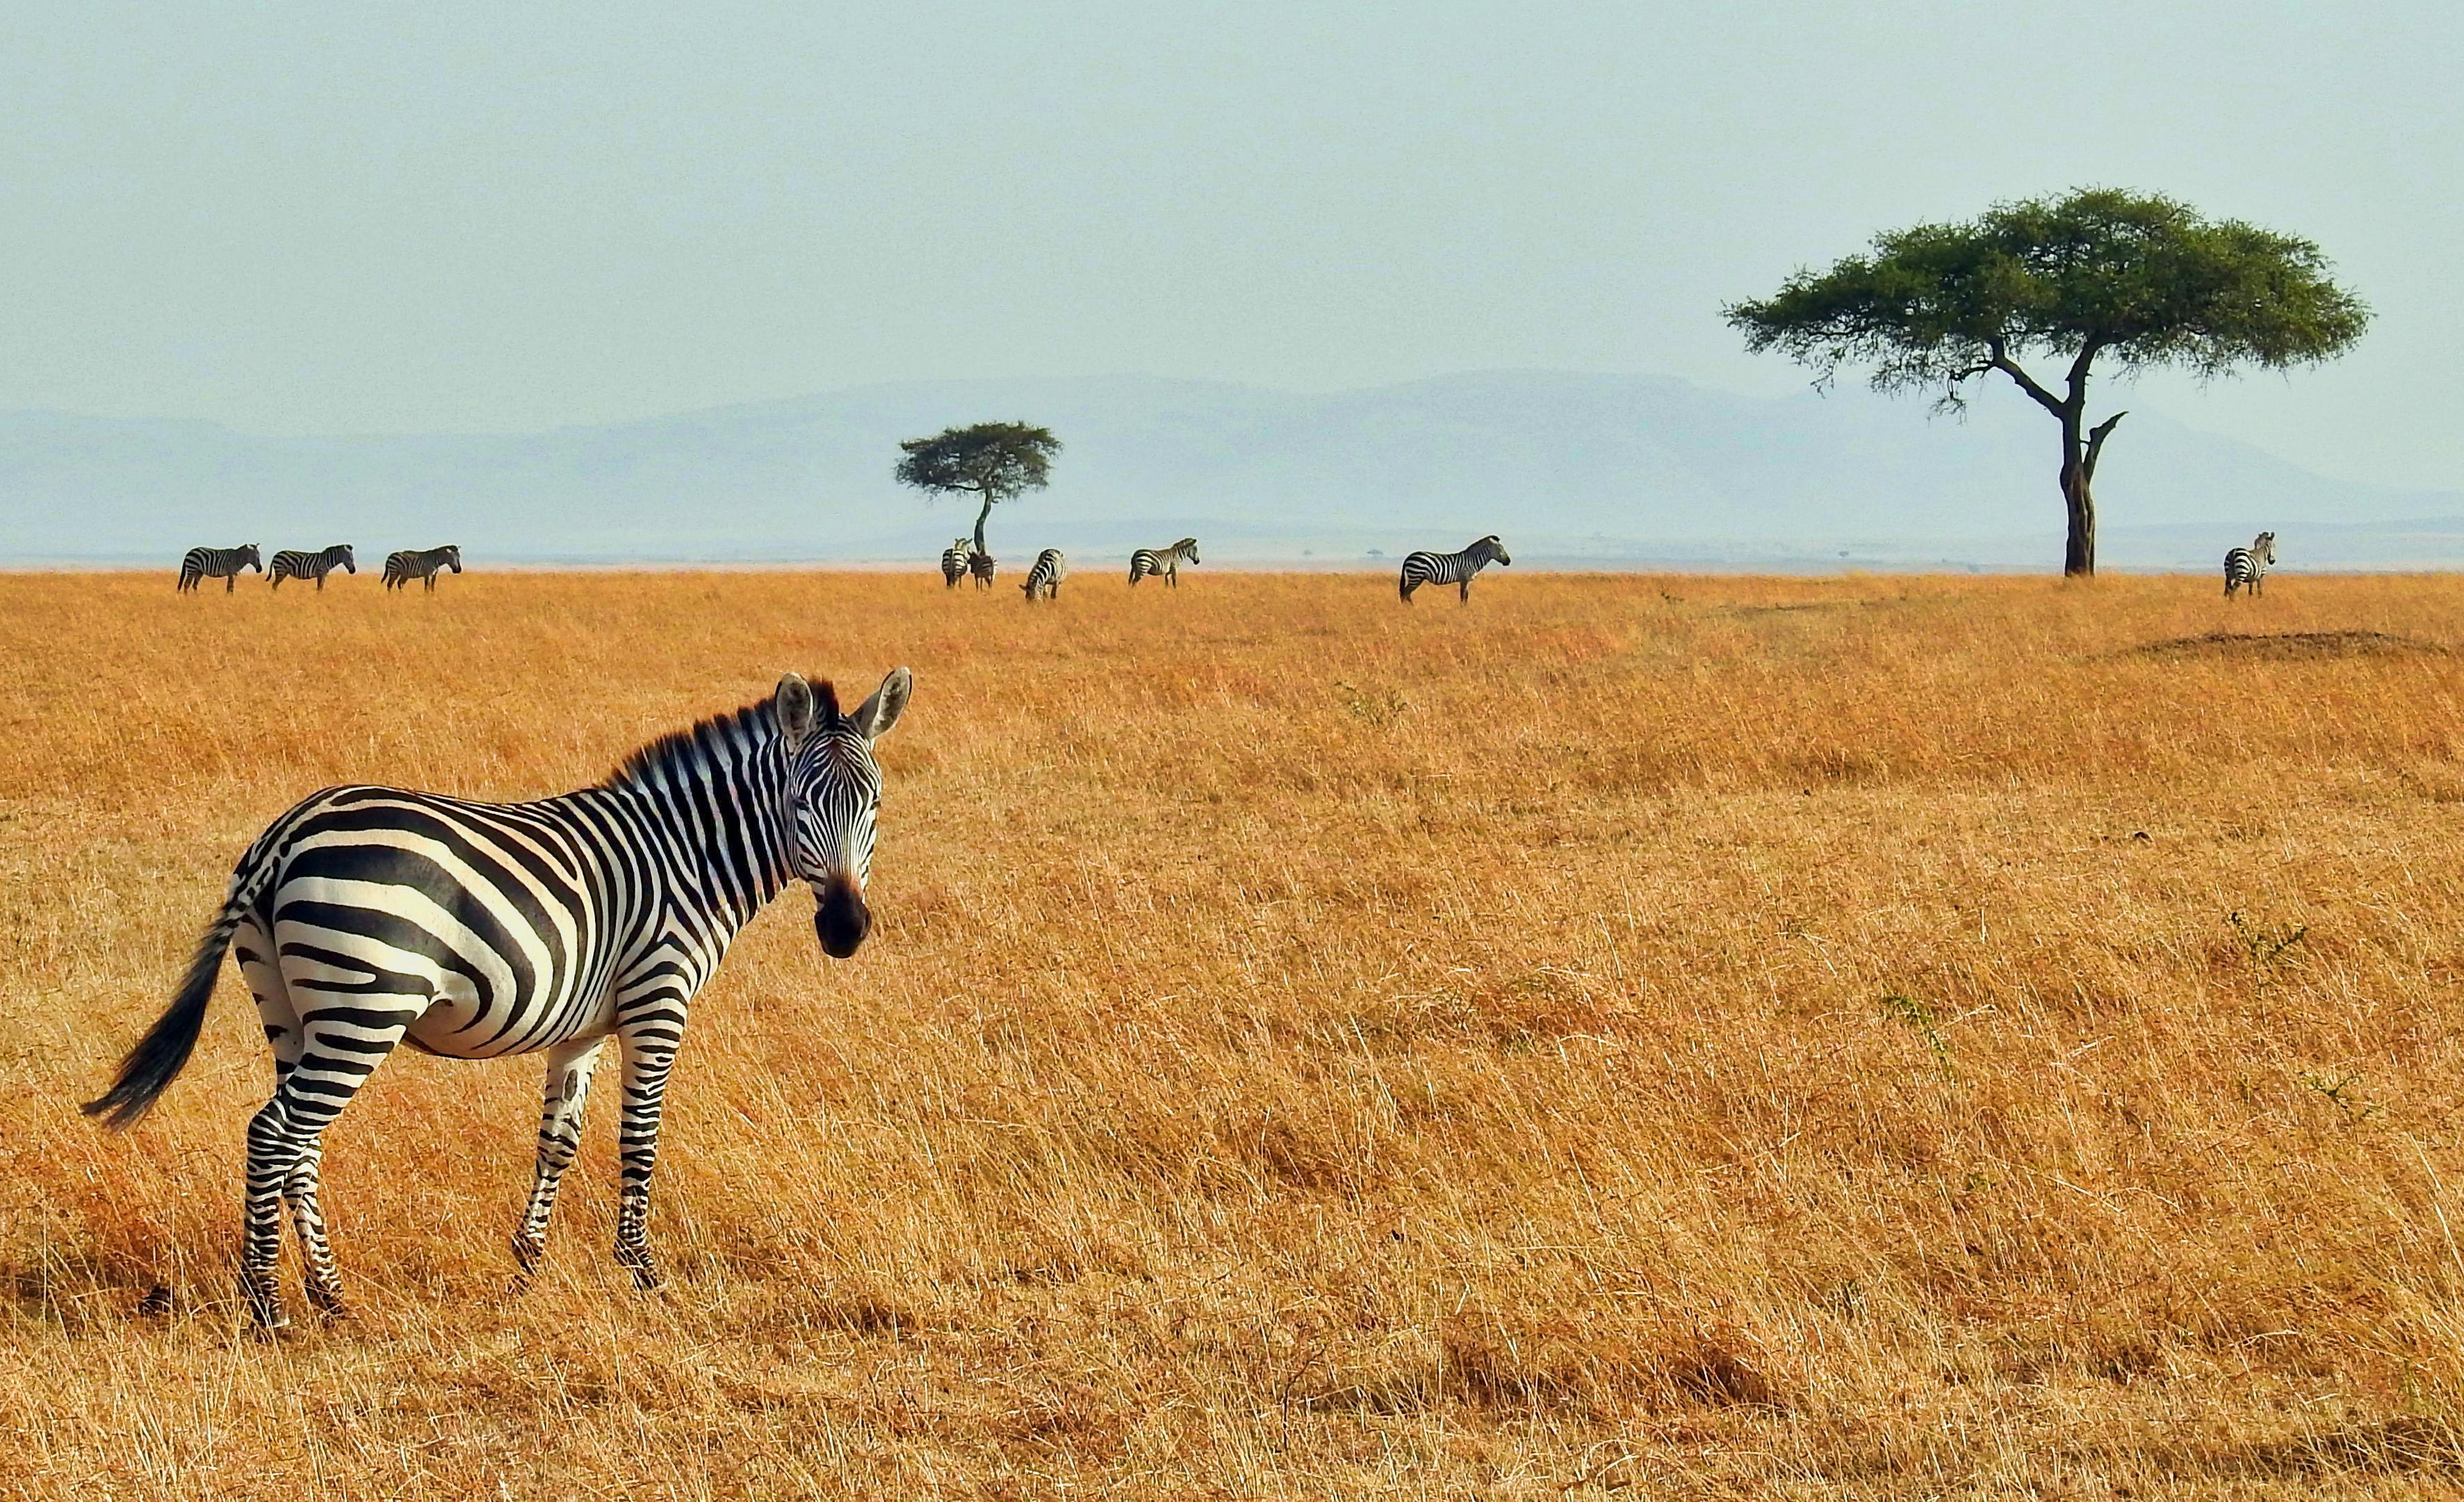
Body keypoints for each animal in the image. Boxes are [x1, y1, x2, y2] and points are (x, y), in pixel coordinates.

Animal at [86, 664, 921, 1319]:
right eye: (804, 803)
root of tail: (289, 829)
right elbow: (639, 1138)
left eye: (874, 805)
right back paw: (268, 1305)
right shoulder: (657, 1000)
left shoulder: (582, 1026)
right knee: (273, 1133)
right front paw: (643, 1272)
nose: (845, 929)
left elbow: (558, 1140)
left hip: (289, 1008)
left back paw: (329, 1294)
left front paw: (527, 1265)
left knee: (299, 1142)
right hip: (366, 1006)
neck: (687, 854)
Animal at [1399, 527, 1508, 596]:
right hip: (1416, 575)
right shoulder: (1464, 579)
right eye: (1500, 549)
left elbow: (1465, 597)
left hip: (1418, 577)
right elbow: (1463, 597)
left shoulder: (1466, 581)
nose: (1509, 562)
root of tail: (1409, 557)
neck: (1472, 560)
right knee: (1406, 593)